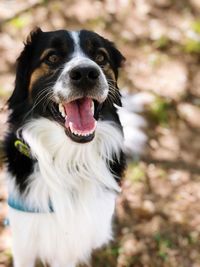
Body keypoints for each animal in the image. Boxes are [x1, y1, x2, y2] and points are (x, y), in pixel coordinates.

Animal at [3, 28, 126, 266]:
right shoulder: (24, 236)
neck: (68, 157)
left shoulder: (69, 245)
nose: (86, 73)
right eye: (52, 58)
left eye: (100, 57)